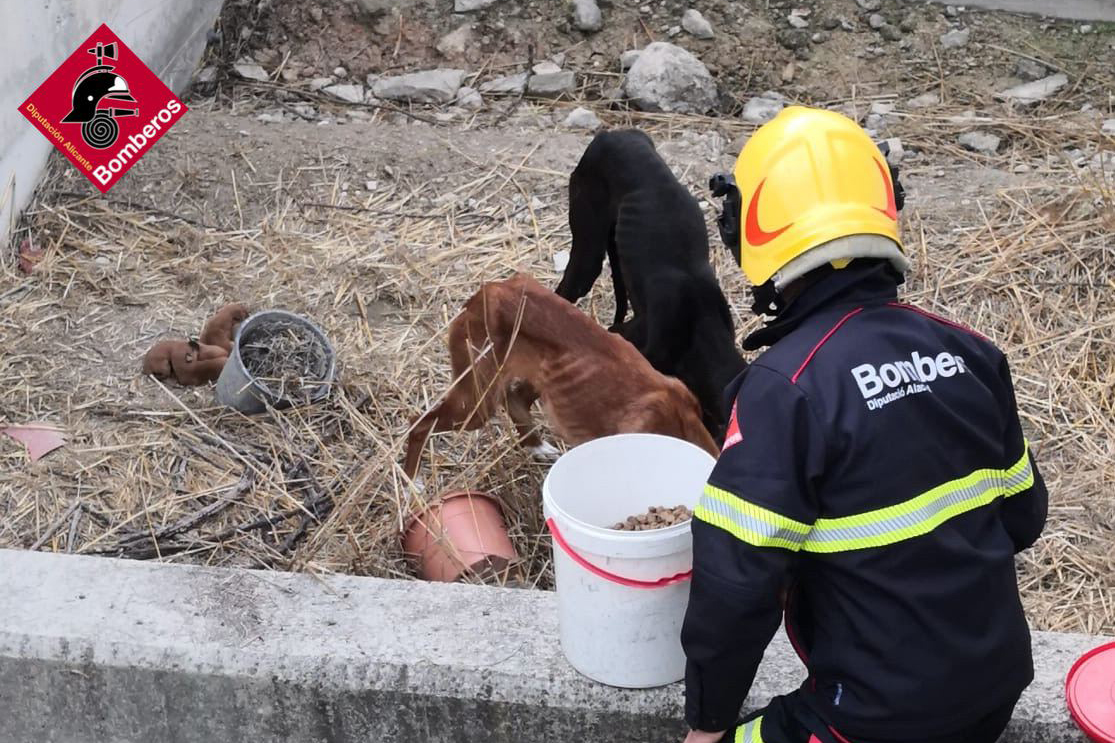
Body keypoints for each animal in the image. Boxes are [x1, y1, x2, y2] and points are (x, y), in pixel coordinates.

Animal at [401, 274, 713, 477]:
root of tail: (487, 291)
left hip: (545, 380)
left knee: (514, 399)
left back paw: (537, 447)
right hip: (476, 404)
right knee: (418, 422)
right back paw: (411, 482)